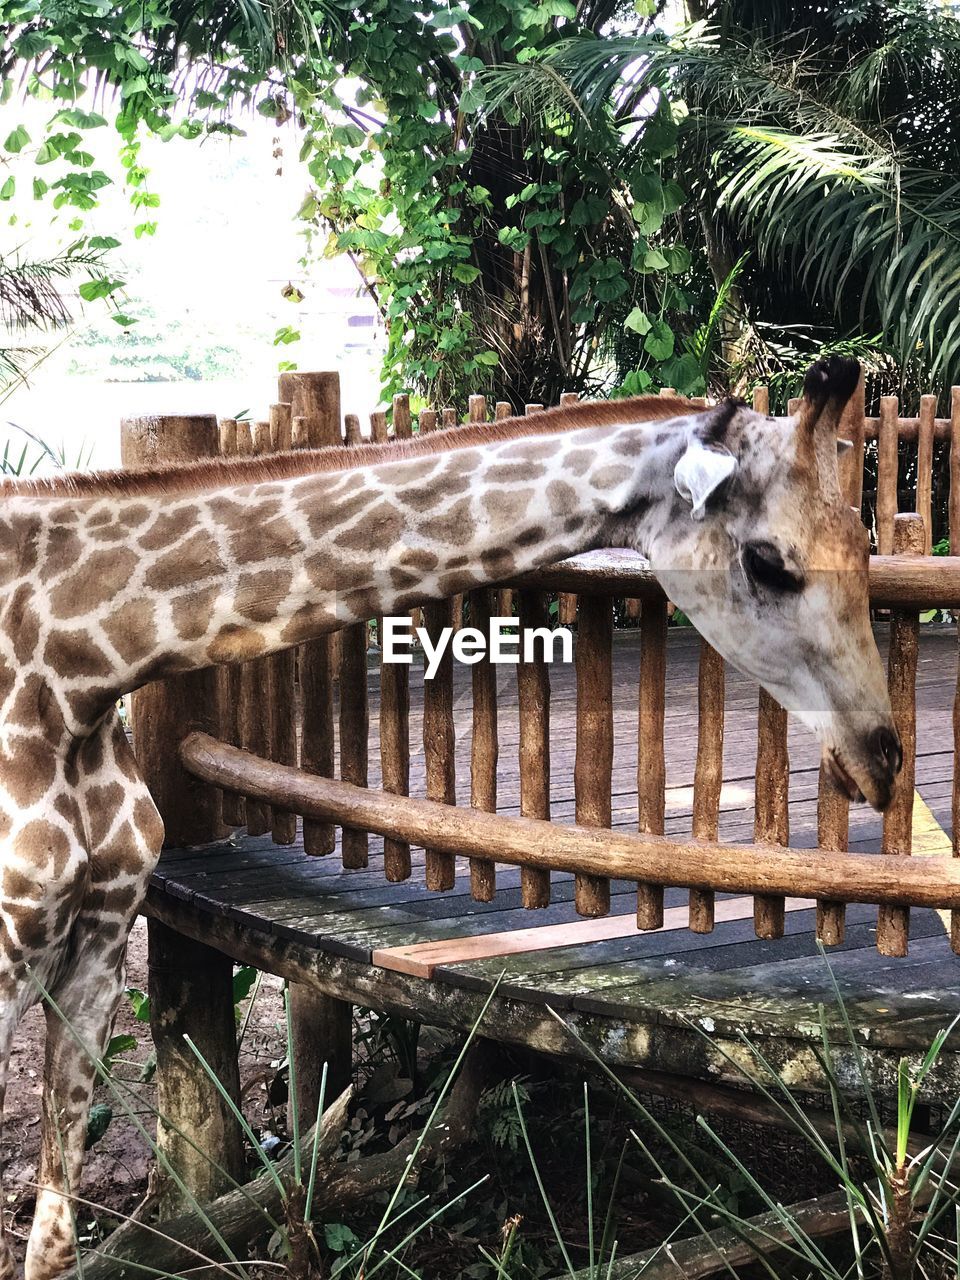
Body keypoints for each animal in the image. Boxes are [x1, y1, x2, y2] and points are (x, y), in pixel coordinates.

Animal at [0, 355, 901, 1274]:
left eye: (865, 549)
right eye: (770, 562)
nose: (883, 758)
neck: (81, 663)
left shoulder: (96, 950)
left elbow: (51, 1241)